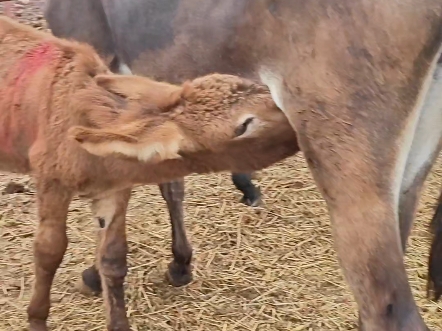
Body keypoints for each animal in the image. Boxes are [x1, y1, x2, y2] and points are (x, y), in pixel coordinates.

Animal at [0, 17, 296, 331]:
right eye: (244, 126)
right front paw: (37, 320)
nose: (297, 112)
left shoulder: (113, 190)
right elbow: (49, 251)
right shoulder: (52, 182)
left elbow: (113, 257)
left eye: (253, 85)